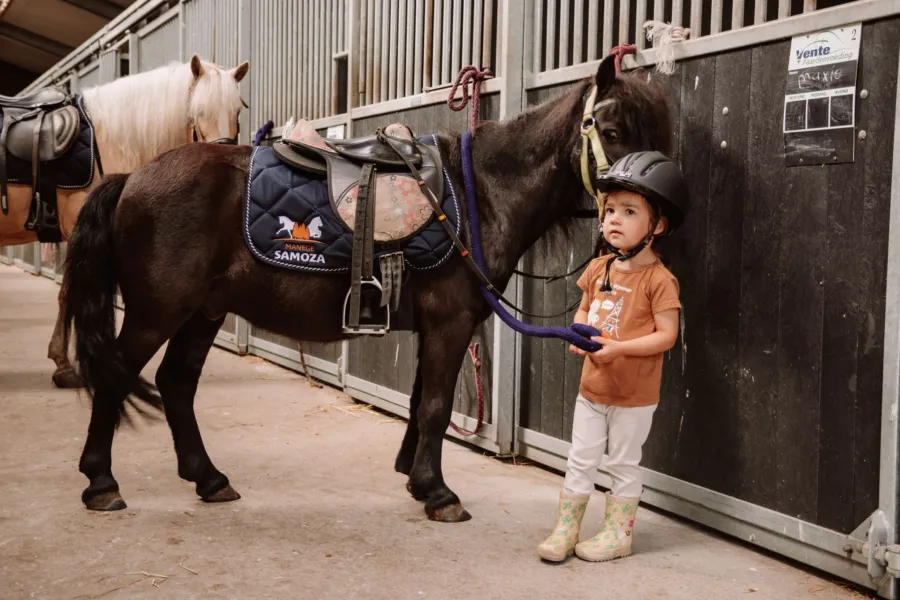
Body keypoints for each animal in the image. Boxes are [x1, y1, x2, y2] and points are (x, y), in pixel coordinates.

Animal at [61, 57, 668, 524]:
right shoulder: (450, 323)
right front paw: (439, 493)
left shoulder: (435, 326)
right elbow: (435, 407)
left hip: (201, 312)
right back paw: (101, 483)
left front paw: (417, 481)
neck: (480, 194)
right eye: (612, 132)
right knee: (117, 375)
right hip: (157, 312)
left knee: (176, 383)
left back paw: (208, 479)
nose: (640, 199)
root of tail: (132, 180)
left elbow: (424, 402)